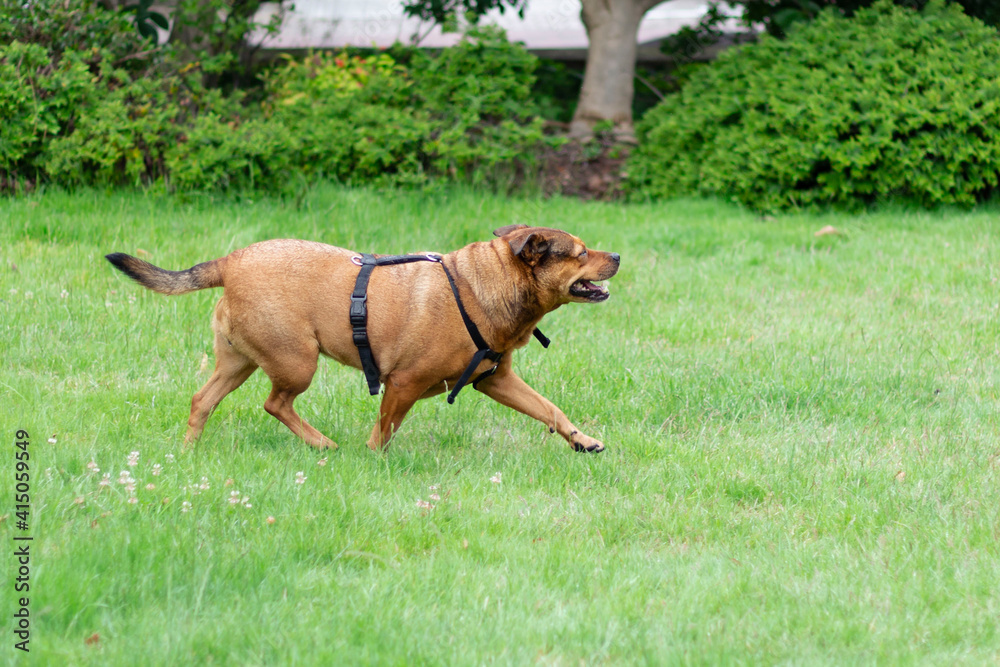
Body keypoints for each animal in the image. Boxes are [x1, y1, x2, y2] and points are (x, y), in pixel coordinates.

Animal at [103, 226, 616, 454]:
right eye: (580, 253)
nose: (615, 257)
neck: (481, 287)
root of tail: (231, 261)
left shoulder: (496, 380)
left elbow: (550, 410)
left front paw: (583, 440)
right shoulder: (402, 384)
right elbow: (383, 433)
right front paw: (374, 463)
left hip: (238, 362)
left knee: (202, 400)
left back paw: (188, 452)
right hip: (297, 361)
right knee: (275, 404)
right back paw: (322, 444)